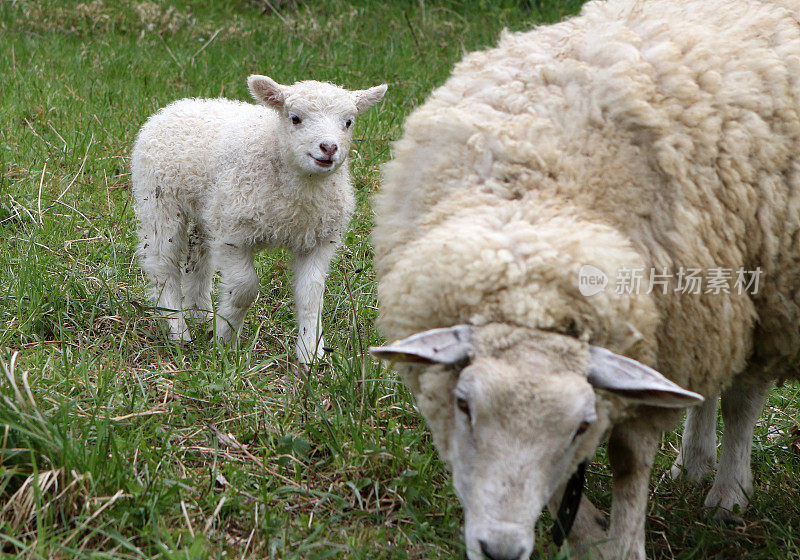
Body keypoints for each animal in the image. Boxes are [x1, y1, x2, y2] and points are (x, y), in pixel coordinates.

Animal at [132, 74, 388, 364]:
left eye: (348, 122)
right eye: (295, 118)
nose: (329, 148)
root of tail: (178, 105)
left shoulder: (319, 239)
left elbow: (311, 294)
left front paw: (310, 352)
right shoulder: (233, 235)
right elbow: (244, 288)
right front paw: (225, 343)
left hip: (208, 208)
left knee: (198, 259)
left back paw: (201, 315)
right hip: (159, 199)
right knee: (162, 263)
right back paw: (178, 330)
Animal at [368, 0, 800, 556]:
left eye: (582, 425)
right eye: (463, 404)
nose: (500, 549)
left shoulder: (656, 348)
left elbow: (630, 462)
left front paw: (622, 544)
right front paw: (586, 535)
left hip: (766, 287)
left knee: (743, 397)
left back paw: (727, 493)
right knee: (708, 391)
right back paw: (693, 465)